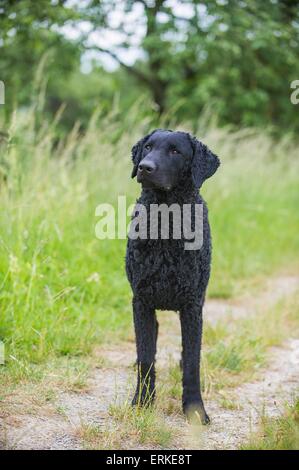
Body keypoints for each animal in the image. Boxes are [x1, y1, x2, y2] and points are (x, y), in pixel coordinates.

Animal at [125, 127, 220, 422]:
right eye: (147, 147)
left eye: (175, 151)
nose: (144, 167)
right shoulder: (141, 302)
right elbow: (146, 357)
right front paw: (142, 403)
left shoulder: (191, 306)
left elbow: (192, 362)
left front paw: (195, 409)